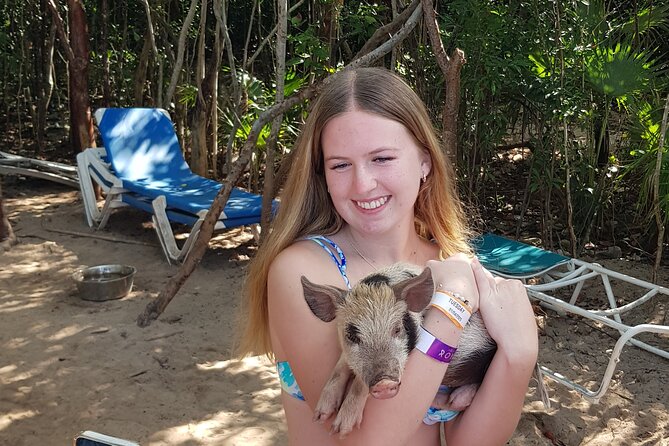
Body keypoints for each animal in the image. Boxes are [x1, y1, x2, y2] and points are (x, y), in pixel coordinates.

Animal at [301, 263, 497, 436]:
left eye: (396, 329)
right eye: (352, 336)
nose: (385, 383)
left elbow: (359, 382)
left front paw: (342, 429)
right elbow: (342, 365)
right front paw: (321, 416)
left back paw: (457, 397)